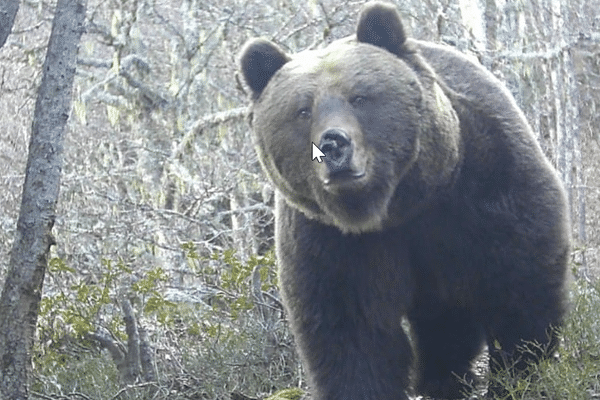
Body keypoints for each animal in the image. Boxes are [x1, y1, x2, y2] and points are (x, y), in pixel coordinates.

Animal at [238, 2, 568, 396]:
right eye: (302, 111)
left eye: (360, 97)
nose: (332, 144)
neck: (396, 206)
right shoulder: (330, 240)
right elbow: (351, 330)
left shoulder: (484, 191)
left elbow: (517, 288)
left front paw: (519, 375)